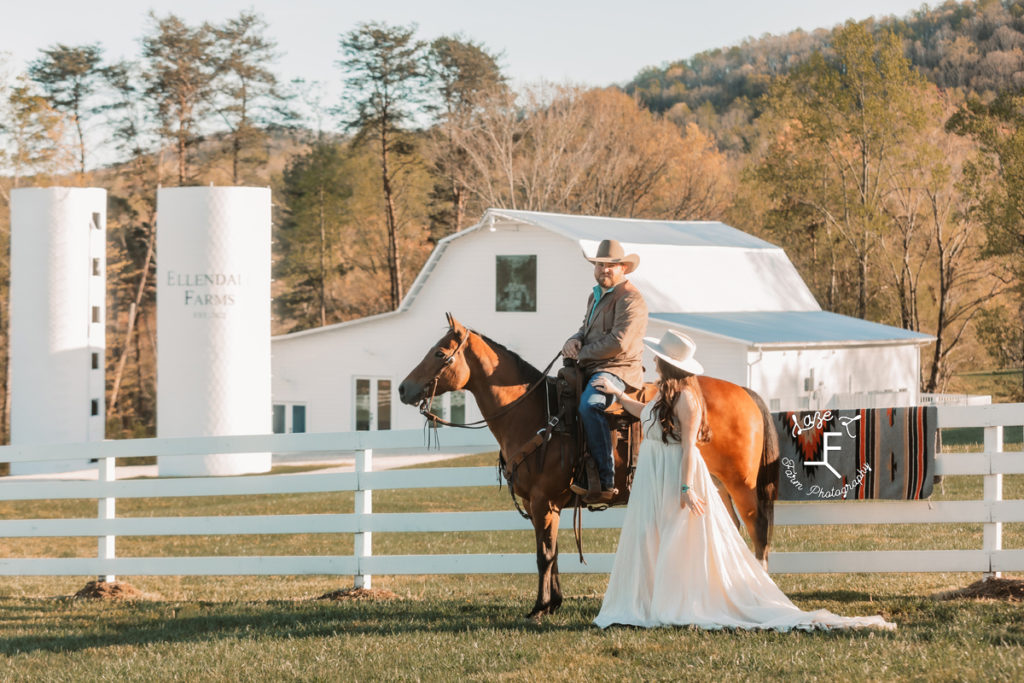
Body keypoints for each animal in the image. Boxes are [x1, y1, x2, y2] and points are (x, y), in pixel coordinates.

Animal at [395, 315, 778, 618]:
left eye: (439, 353)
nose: (402, 389)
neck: (537, 415)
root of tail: (745, 392)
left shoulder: (543, 501)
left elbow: (544, 555)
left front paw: (539, 608)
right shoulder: (542, 505)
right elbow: (552, 552)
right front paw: (553, 602)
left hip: (741, 485)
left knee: (758, 530)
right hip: (717, 484)